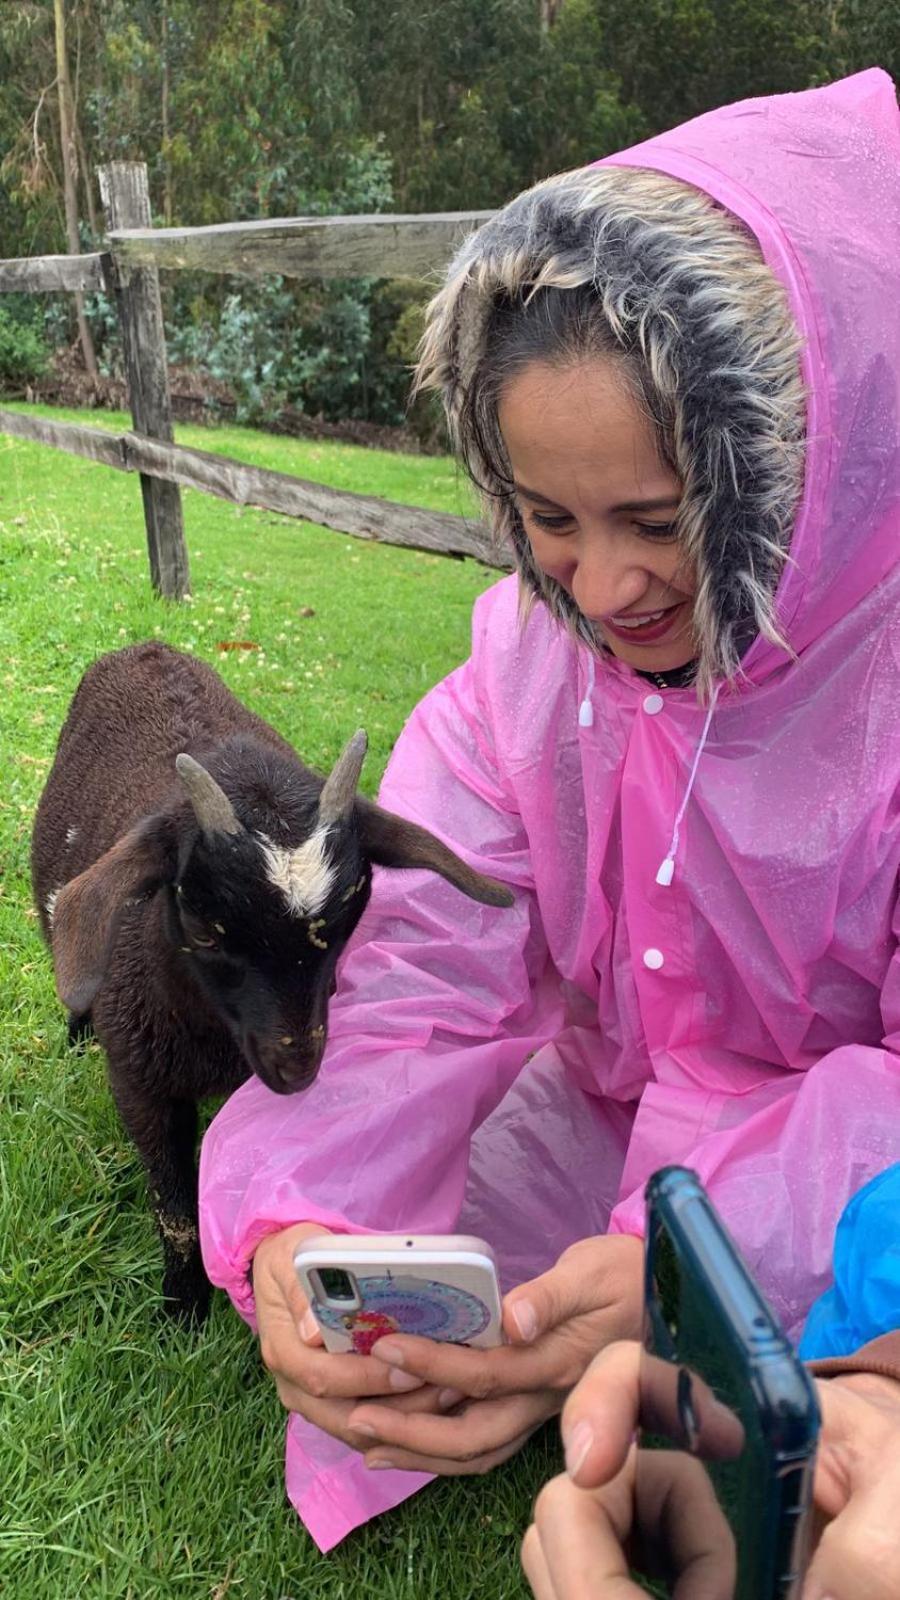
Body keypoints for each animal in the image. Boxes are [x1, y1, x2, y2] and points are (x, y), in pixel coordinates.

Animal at [33, 643, 512, 1318]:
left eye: (351, 916)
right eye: (204, 929)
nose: (298, 1069)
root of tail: (149, 647)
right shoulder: (140, 1085)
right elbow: (174, 1210)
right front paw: (182, 1311)